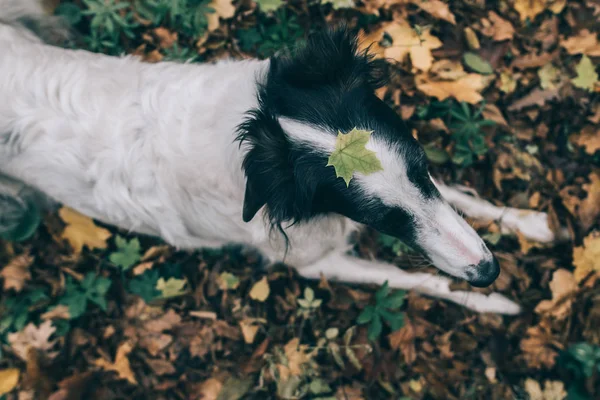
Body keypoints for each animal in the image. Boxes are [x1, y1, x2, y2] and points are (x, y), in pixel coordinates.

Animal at [0, 0, 560, 314]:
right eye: (380, 217)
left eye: (421, 166)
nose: (489, 271)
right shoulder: (316, 264)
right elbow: (415, 277)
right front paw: (495, 304)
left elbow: (466, 200)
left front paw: (530, 223)